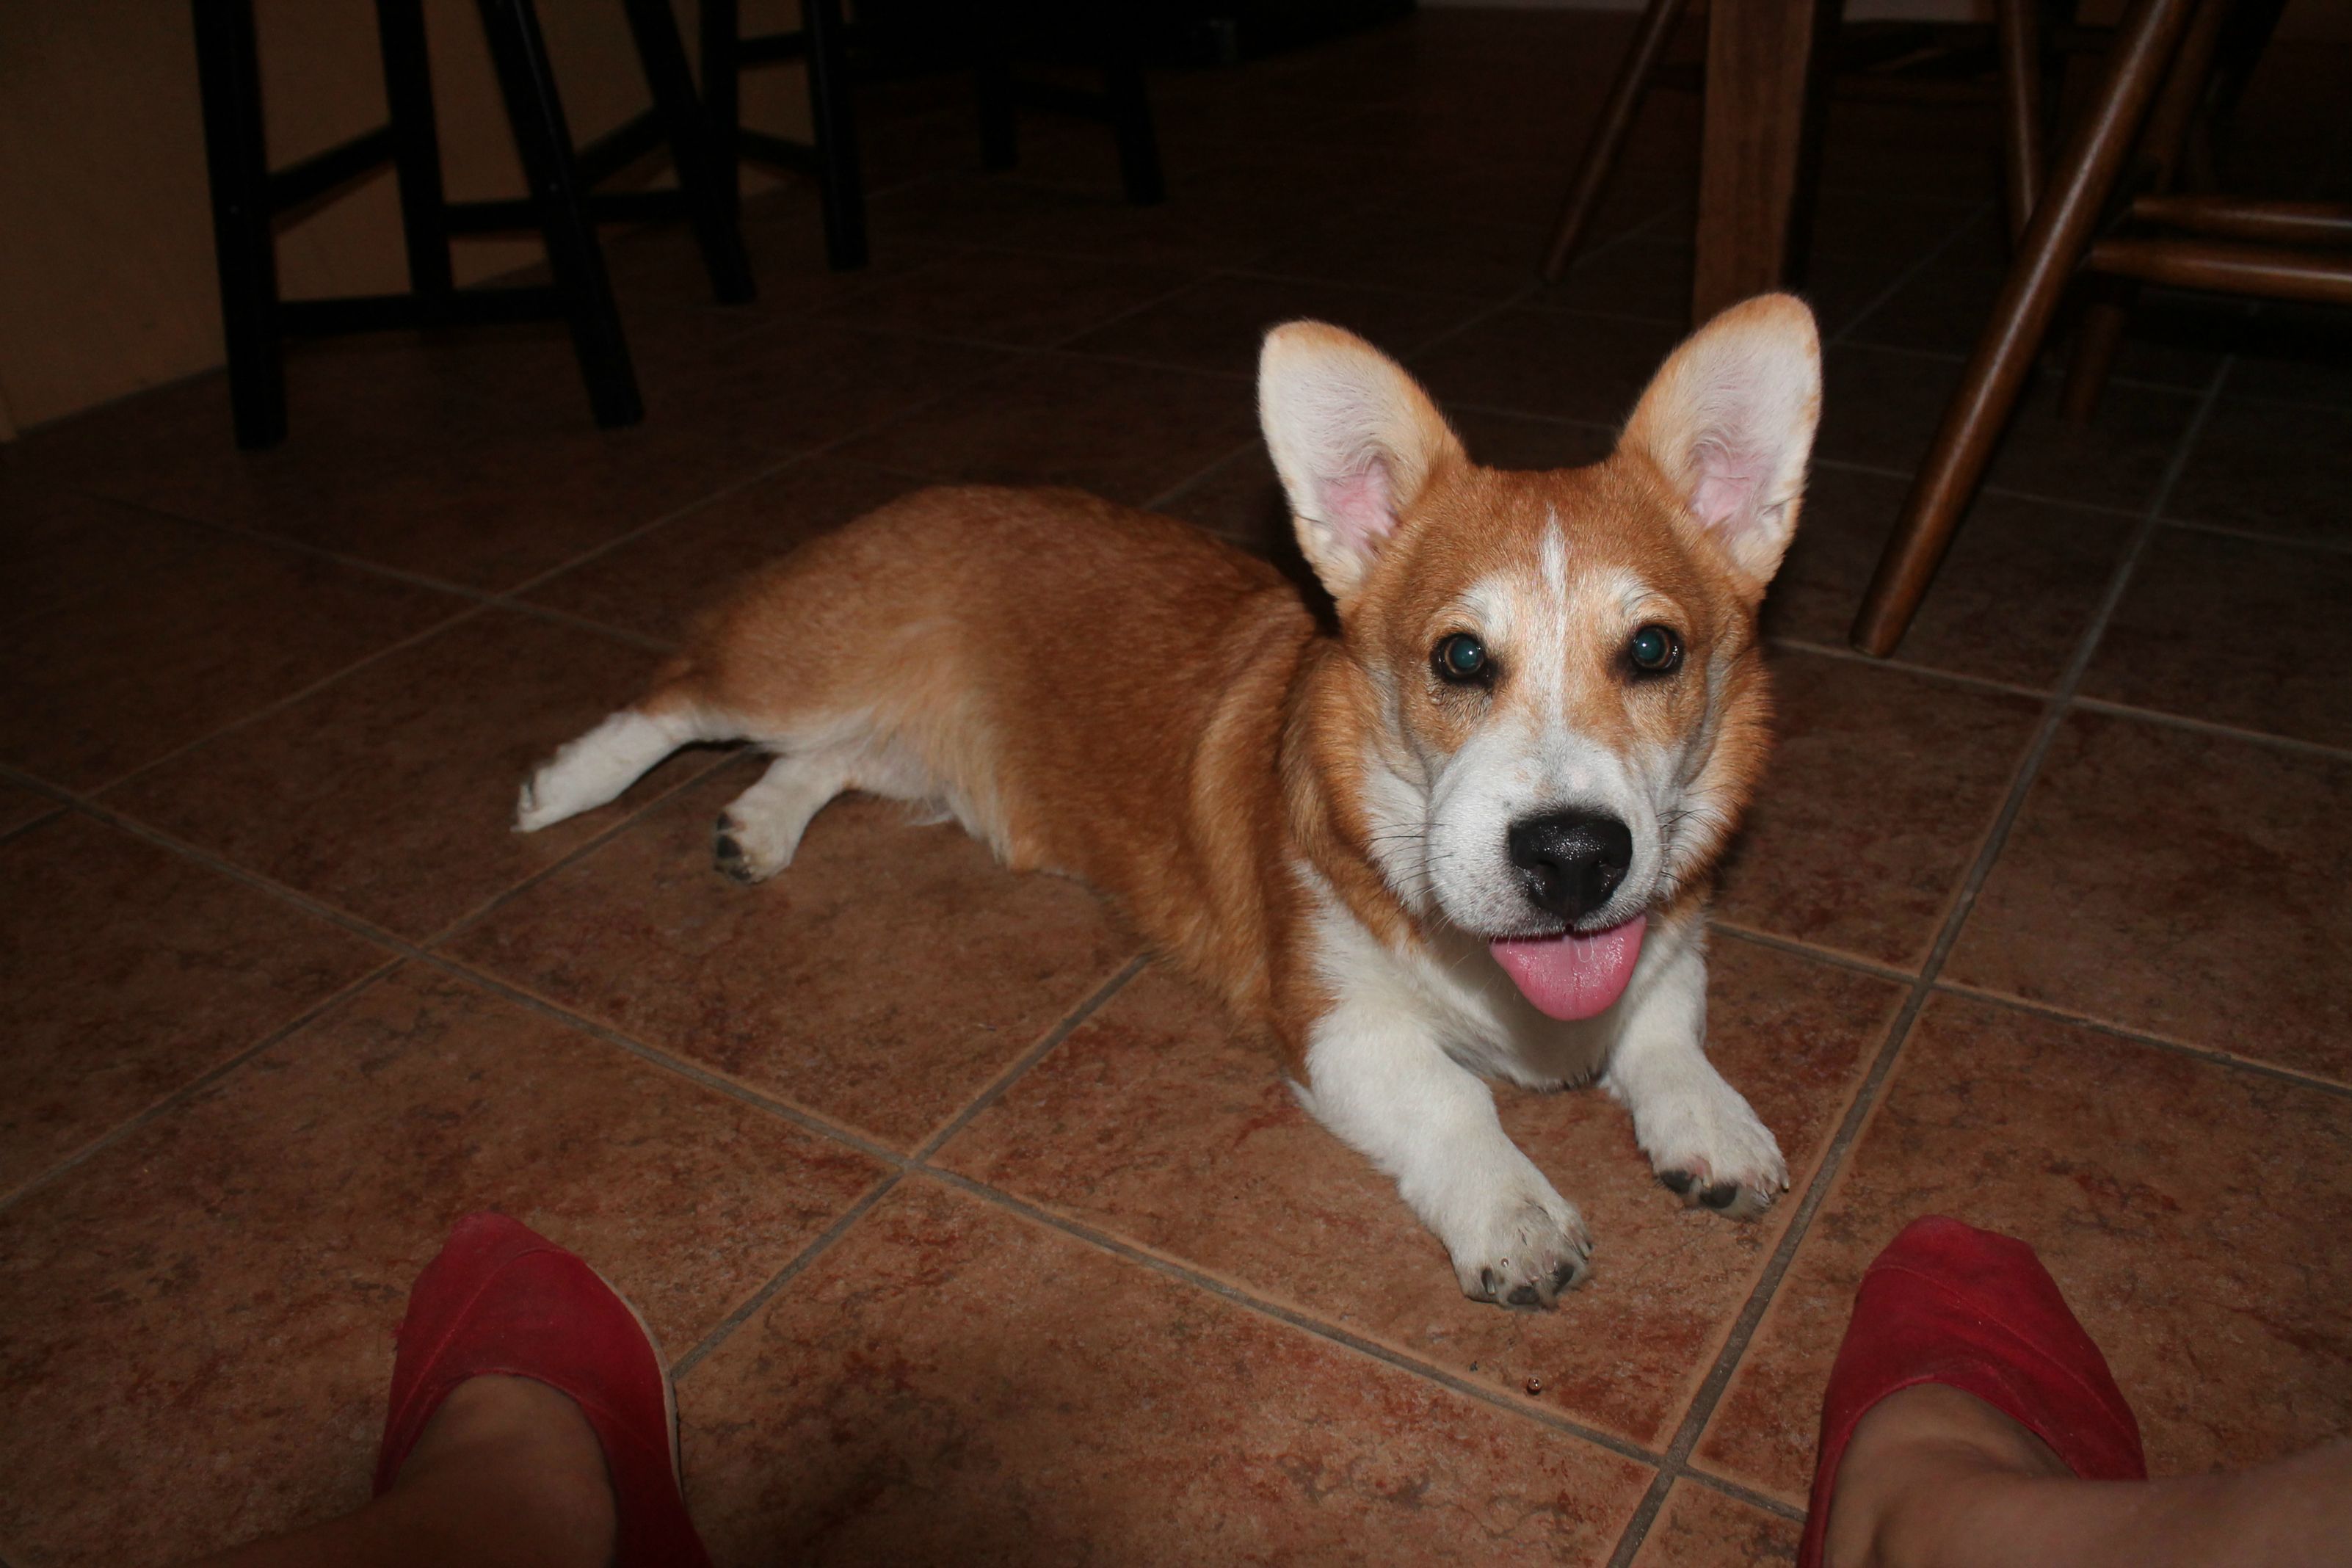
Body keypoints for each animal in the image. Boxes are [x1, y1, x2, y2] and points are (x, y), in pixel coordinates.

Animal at [524, 294, 1825, 1316]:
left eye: (1654, 650)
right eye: (1459, 659)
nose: (1572, 860)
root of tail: (920, 496)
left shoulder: (1665, 947)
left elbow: (1665, 1029)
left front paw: (1714, 1125)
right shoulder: (1338, 1024)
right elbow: (1453, 1100)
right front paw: (1515, 1218)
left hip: (895, 744)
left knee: (819, 761)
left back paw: (756, 828)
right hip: (801, 667)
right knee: (680, 693)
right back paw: (560, 787)